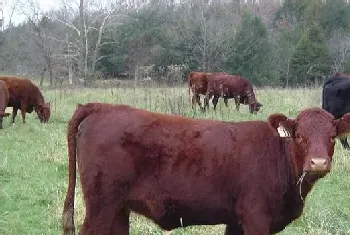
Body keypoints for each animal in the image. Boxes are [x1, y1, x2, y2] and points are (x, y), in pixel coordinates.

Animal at [61, 103, 348, 235]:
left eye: (333, 137)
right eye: (299, 136)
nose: (318, 163)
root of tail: (103, 107)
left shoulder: (236, 221)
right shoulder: (256, 217)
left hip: (118, 209)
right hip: (101, 206)